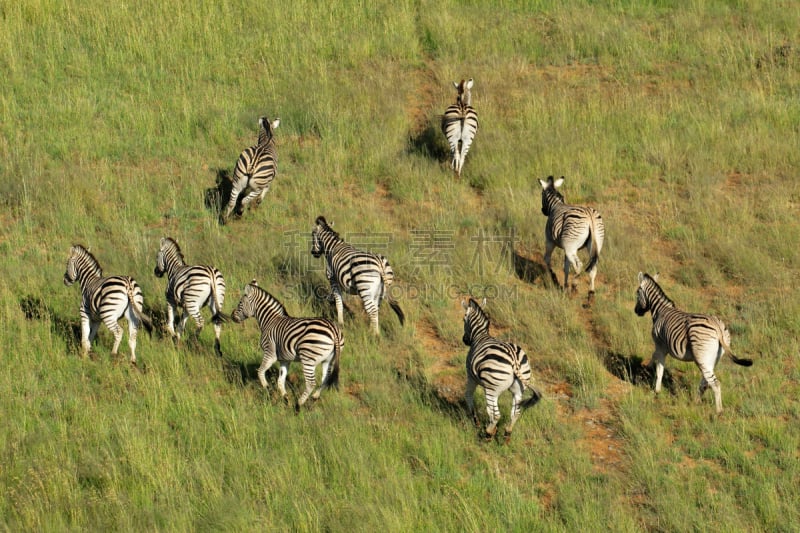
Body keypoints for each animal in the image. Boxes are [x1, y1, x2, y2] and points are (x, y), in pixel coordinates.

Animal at [231, 278, 344, 408]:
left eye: (240, 303)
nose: (232, 316)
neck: (270, 320)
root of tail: (333, 329)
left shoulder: (270, 353)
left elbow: (260, 372)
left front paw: (269, 390)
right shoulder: (285, 359)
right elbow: (280, 381)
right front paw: (285, 398)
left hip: (308, 358)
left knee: (311, 383)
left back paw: (298, 405)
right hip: (328, 359)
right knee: (325, 379)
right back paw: (314, 399)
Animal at [460, 298, 540, 442]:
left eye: (464, 319)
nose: (465, 340)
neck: (480, 335)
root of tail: (514, 360)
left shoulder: (471, 376)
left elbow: (468, 395)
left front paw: (476, 422)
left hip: (492, 389)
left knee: (496, 415)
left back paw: (487, 435)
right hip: (518, 389)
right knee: (515, 412)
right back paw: (506, 435)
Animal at [636, 272, 752, 414]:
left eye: (637, 292)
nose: (637, 311)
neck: (661, 311)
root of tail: (717, 326)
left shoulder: (660, 345)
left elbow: (659, 368)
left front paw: (656, 390)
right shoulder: (663, 347)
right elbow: (655, 359)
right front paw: (646, 367)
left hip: (702, 356)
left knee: (715, 383)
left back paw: (718, 411)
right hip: (712, 358)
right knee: (706, 382)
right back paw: (696, 401)